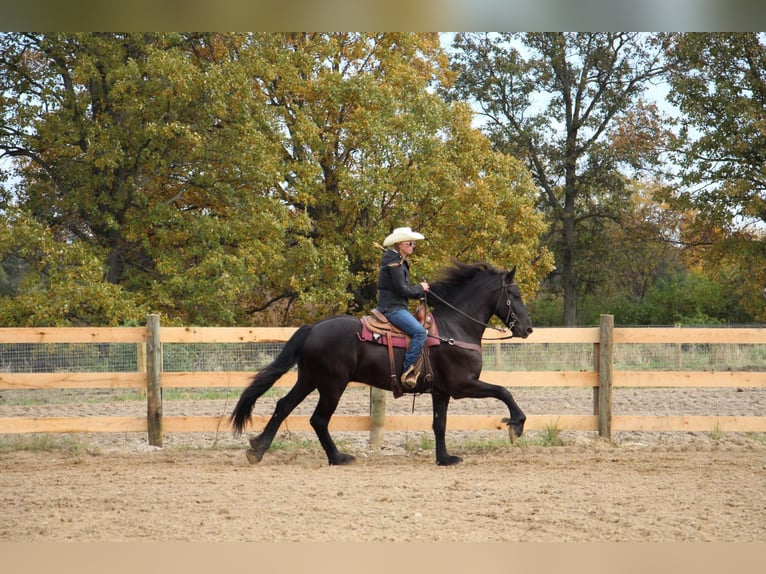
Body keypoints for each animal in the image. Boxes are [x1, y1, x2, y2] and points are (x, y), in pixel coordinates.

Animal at [231, 262, 536, 468]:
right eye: (516, 294)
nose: (528, 329)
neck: (455, 328)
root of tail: (313, 328)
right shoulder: (462, 385)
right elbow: (503, 391)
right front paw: (516, 425)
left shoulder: (441, 392)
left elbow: (439, 424)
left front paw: (444, 458)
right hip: (331, 385)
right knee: (318, 419)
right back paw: (338, 457)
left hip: (309, 379)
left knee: (283, 406)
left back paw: (257, 449)